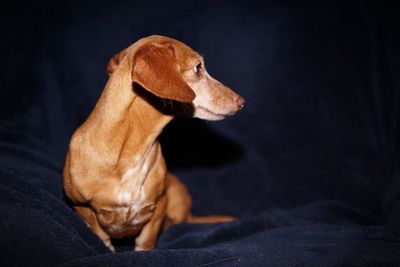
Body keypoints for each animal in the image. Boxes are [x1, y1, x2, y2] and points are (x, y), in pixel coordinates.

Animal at [63, 35, 244, 251]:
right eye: (198, 67)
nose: (242, 102)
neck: (131, 153)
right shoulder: (82, 207)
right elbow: (102, 238)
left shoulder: (158, 206)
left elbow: (146, 240)